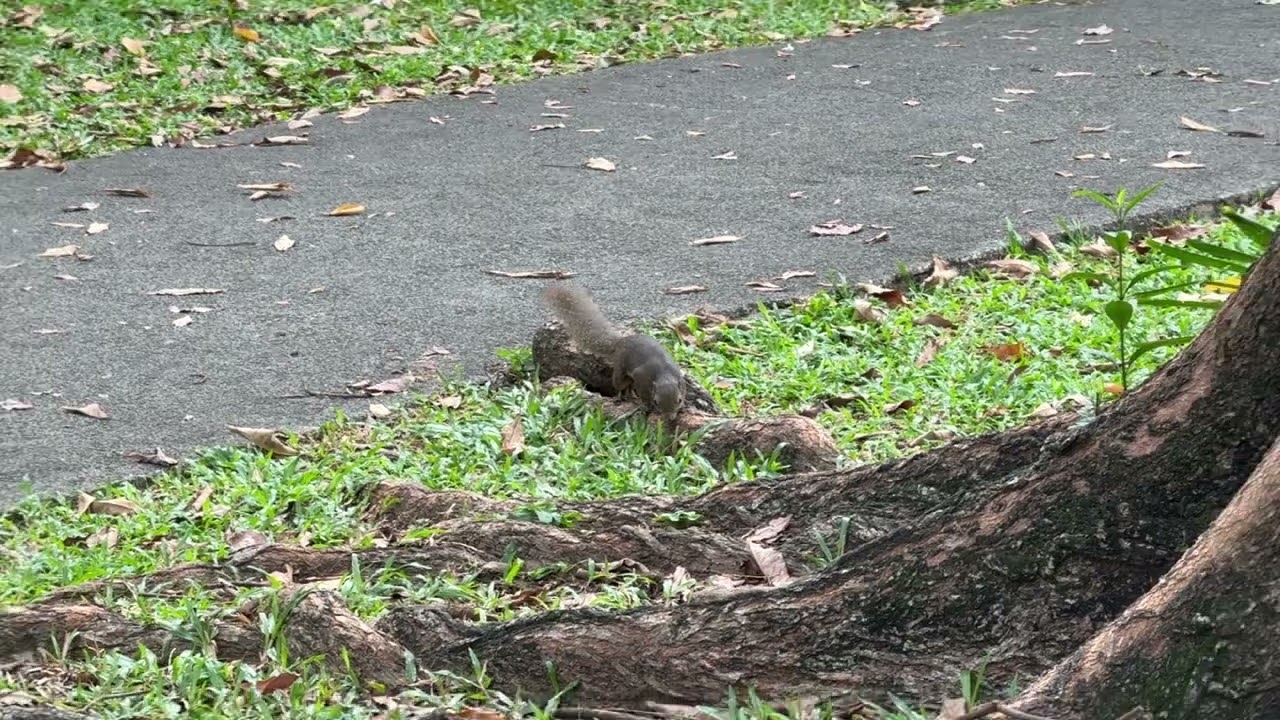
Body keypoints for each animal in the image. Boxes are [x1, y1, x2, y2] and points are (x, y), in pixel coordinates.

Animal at [543, 284, 686, 421]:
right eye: (656, 401)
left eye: (679, 400)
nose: (670, 418)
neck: (663, 374)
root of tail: (620, 342)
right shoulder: (642, 376)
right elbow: (644, 395)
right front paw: (646, 405)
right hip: (620, 371)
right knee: (619, 385)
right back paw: (620, 397)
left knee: (629, 386)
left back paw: (631, 396)